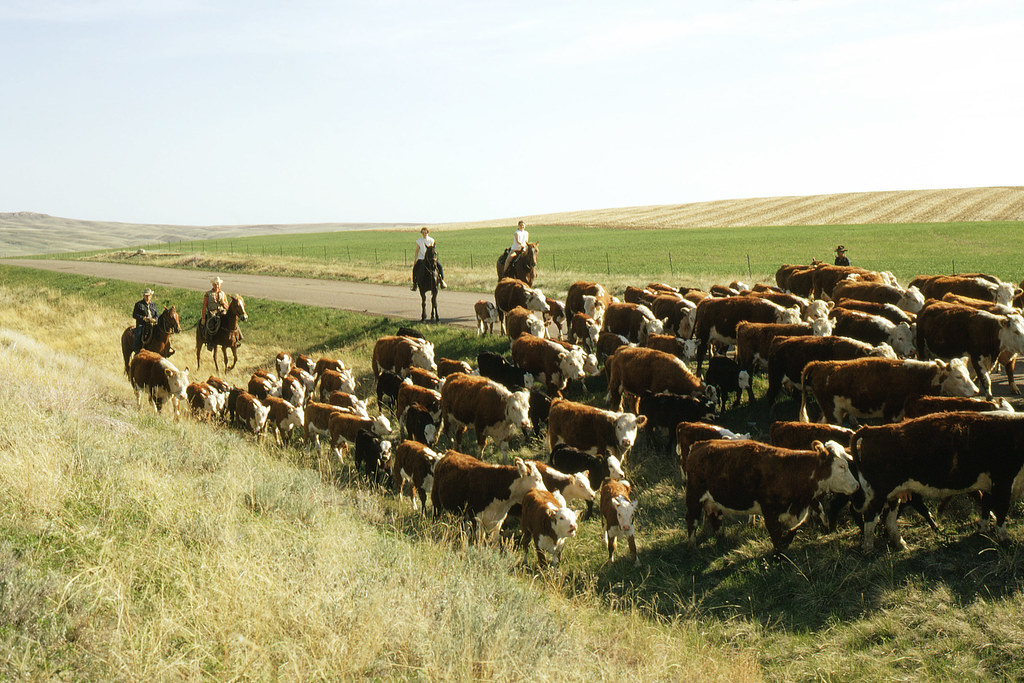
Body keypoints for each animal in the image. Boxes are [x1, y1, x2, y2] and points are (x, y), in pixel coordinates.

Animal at [684, 440, 860, 552]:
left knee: (716, 518)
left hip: (714, 502)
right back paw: (692, 547)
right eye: (842, 466)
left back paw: (721, 539)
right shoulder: (770, 511)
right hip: (694, 497)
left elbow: (792, 531)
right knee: (692, 520)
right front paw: (778, 556)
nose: (857, 486)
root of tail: (699, 444)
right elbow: (776, 536)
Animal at [794, 356, 978, 423]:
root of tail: (820, 364)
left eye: (968, 374)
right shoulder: (891, 413)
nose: (976, 391)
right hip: (833, 412)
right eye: (958, 376)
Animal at [851, 411, 1024, 548]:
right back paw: (868, 548)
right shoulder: (1003, 481)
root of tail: (873, 430)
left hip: (894, 494)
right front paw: (1005, 538)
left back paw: (901, 544)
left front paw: (982, 529)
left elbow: (986, 506)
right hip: (880, 493)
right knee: (870, 518)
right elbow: (1001, 510)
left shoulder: (990, 484)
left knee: (889, 519)